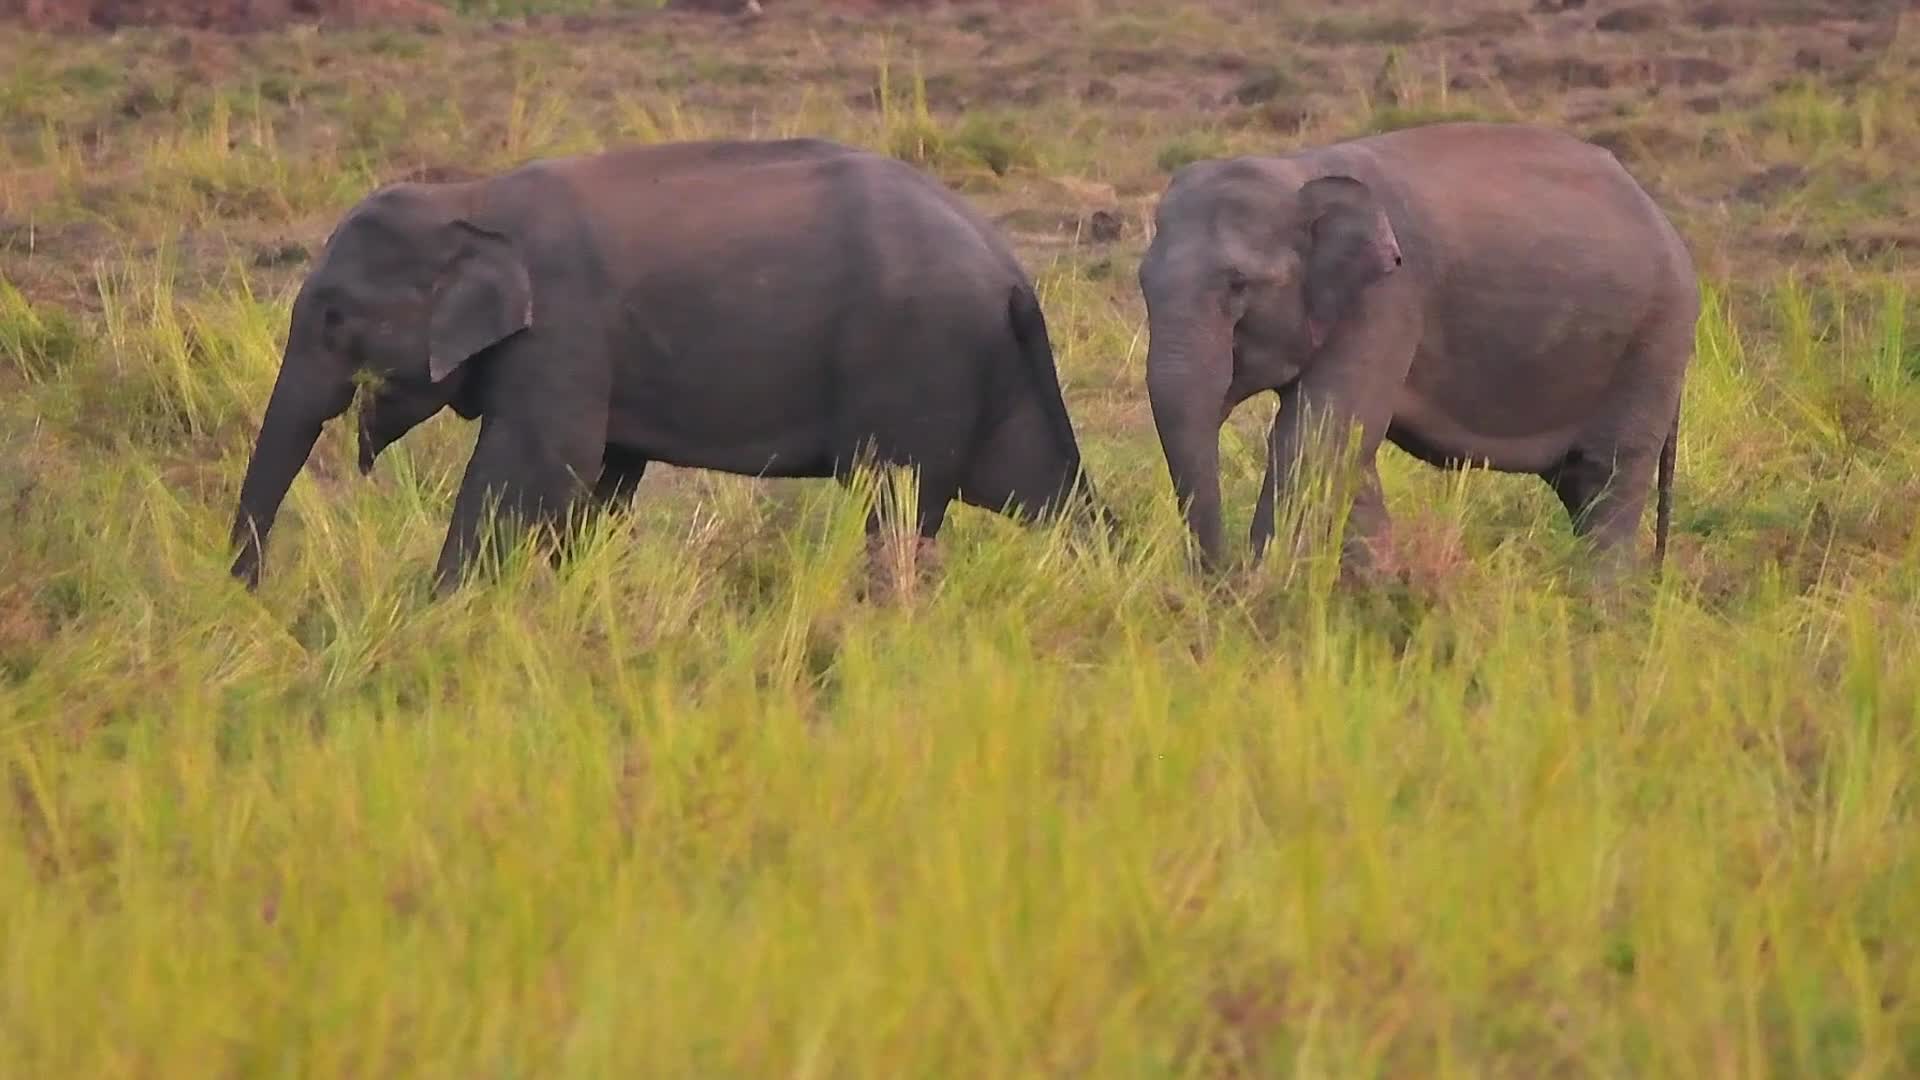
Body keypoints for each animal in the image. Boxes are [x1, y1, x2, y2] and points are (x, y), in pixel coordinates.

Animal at [227, 137, 1111, 594]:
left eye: (334, 318)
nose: (248, 595)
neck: (470, 200)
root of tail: (1011, 268)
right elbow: (600, 479)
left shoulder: (564, 329)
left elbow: (537, 467)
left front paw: (442, 608)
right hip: (981, 370)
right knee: (1046, 495)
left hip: (919, 359)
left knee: (896, 500)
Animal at [1136, 121, 1698, 579]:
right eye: (1142, 283)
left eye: (1238, 286)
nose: (1217, 579)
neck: (1299, 168)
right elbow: (1347, 449)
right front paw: (1374, 587)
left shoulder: (1388, 299)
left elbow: (1315, 437)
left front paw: (1266, 587)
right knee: (1580, 483)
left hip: (1656, 339)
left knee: (1610, 473)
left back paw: (1599, 607)